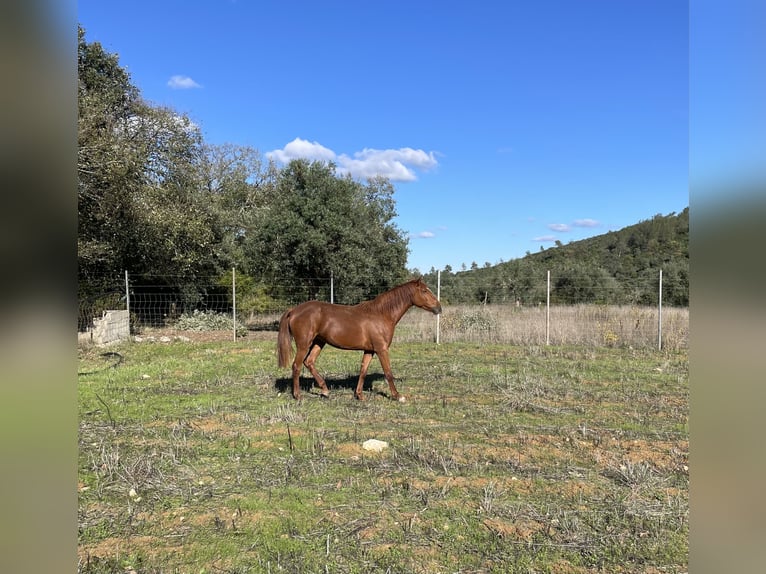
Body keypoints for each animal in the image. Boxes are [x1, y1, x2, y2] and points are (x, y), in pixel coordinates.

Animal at [280, 278, 440, 402]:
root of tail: (294, 310)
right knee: (296, 366)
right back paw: (298, 396)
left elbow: (363, 371)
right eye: (424, 291)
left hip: (319, 342)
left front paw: (360, 395)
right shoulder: (381, 349)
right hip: (303, 345)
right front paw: (397, 396)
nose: (439, 308)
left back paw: (325, 391)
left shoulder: (369, 350)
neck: (382, 314)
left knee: (309, 362)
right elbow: (388, 372)